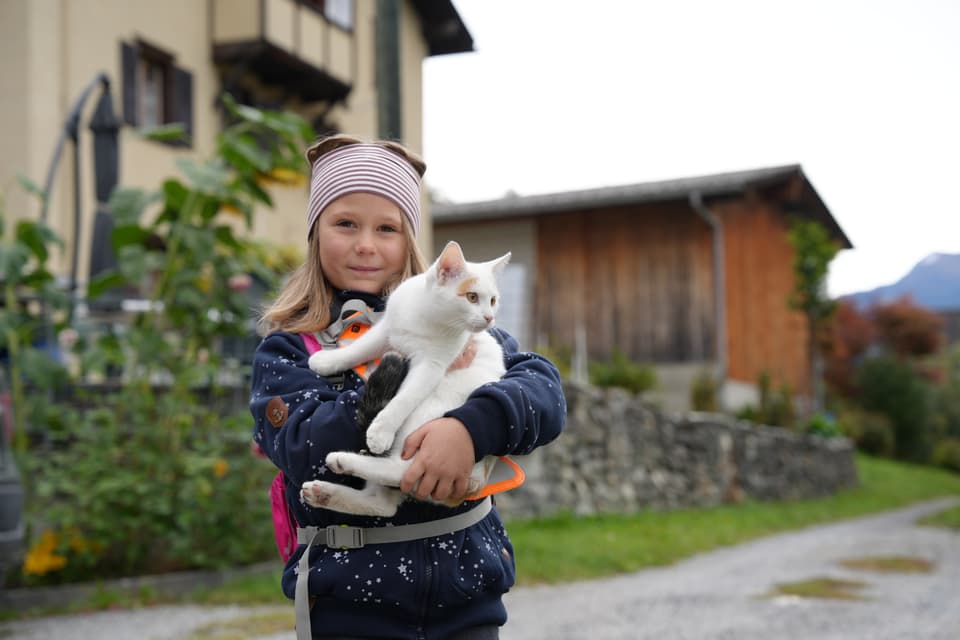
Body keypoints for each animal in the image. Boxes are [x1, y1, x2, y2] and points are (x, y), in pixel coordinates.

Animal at [302, 242, 510, 516]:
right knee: (383, 505)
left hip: (430, 418)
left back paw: (344, 460)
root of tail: (475, 482)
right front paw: (328, 360)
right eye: (472, 297)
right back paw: (325, 492)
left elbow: (404, 399)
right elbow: (360, 348)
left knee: (402, 471)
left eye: (493, 301)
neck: (426, 317)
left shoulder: (431, 366)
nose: (489, 318)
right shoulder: (387, 330)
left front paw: (381, 430)